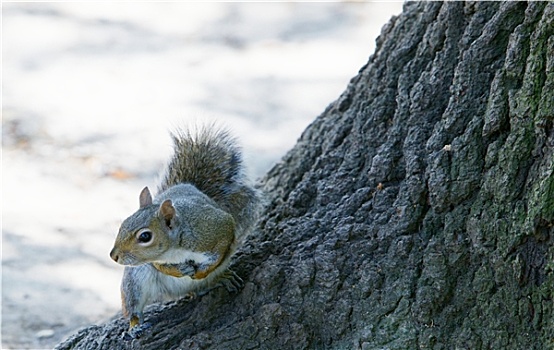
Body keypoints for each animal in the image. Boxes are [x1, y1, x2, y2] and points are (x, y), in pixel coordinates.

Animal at [111, 126, 262, 340]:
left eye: (145, 236)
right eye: (122, 224)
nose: (113, 255)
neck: (175, 250)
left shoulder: (217, 228)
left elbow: (221, 248)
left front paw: (201, 272)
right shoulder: (155, 261)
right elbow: (161, 267)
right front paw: (180, 270)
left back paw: (218, 279)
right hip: (135, 279)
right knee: (134, 306)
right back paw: (135, 326)